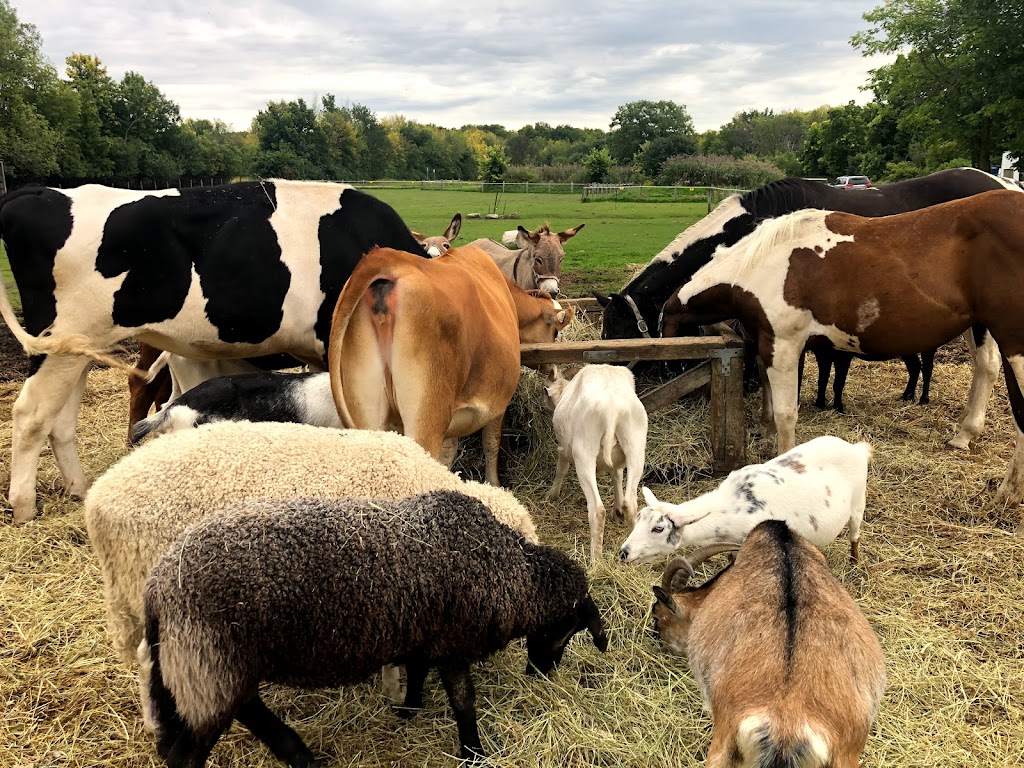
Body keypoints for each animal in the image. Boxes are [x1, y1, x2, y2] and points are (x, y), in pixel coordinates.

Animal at [0, 180, 428, 524]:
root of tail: (41, 192)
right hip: (59, 338)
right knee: (31, 414)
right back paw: (23, 506)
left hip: (79, 349)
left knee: (60, 419)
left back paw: (78, 488)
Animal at [143, 495, 606, 765]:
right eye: (570, 627)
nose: (541, 672)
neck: (512, 573)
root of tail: (158, 584)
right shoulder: (453, 641)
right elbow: (464, 702)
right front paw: (473, 752)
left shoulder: (425, 633)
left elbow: (417, 672)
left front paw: (408, 711)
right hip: (209, 664)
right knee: (187, 754)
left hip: (215, 671)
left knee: (248, 712)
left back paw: (301, 756)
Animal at [327, 244, 573, 487]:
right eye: (555, 332)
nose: (553, 371)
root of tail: (388, 259)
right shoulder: (497, 403)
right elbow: (491, 444)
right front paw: (494, 484)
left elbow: (449, 452)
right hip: (425, 420)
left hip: (369, 415)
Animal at [618, 436, 868, 569]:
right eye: (638, 519)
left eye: (658, 528)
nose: (623, 553)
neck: (730, 506)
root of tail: (856, 448)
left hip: (858, 502)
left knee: (855, 536)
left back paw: (854, 565)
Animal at [659, 189, 1024, 532]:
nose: (667, 370)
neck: (762, 267)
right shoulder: (769, 343)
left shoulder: (785, 345)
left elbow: (786, 414)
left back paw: (1003, 490)